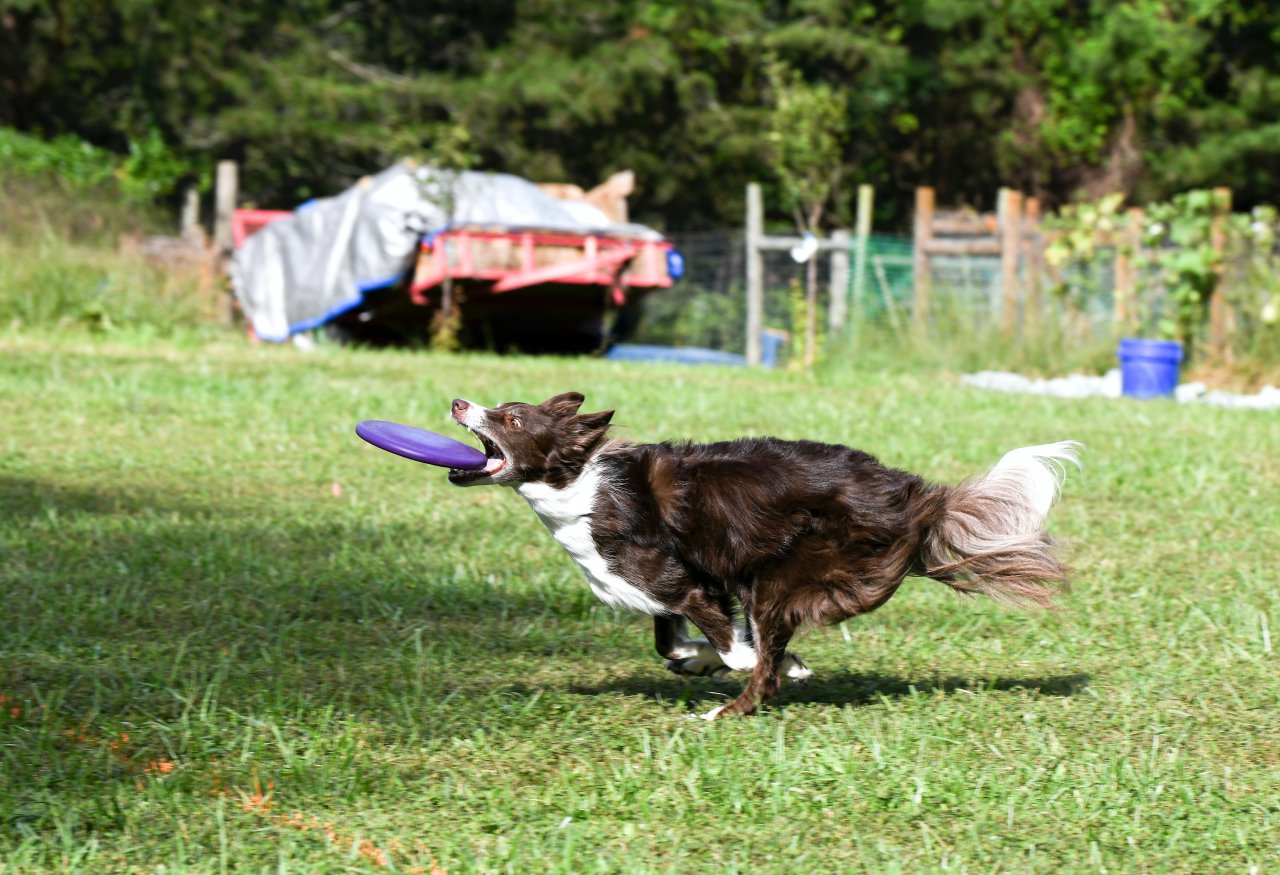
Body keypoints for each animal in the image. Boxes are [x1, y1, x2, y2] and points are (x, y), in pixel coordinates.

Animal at [445, 391, 1075, 716]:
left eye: (512, 417)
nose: (457, 402)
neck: (579, 487)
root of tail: (918, 497)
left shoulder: (685, 582)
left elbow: (736, 651)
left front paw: (758, 662)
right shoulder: (679, 588)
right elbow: (668, 643)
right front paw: (698, 660)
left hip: (785, 573)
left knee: (762, 668)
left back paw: (726, 709)